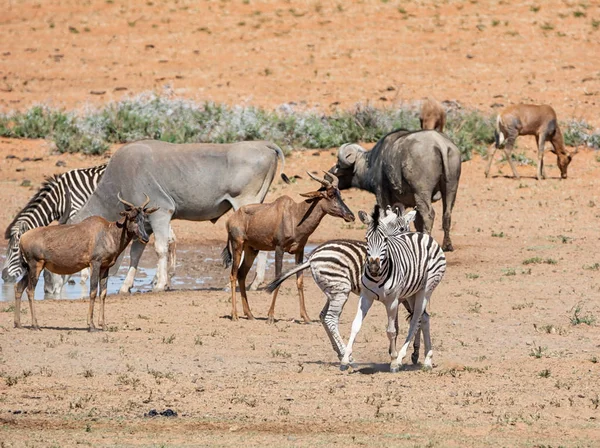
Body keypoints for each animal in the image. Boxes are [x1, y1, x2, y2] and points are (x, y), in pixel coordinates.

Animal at [14, 194, 158, 330]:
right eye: (132, 217)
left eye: (144, 217)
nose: (145, 238)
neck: (107, 231)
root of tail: (22, 238)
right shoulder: (95, 264)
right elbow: (93, 291)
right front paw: (91, 325)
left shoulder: (105, 267)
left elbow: (103, 293)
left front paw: (103, 325)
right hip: (36, 265)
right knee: (30, 290)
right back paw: (35, 325)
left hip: (31, 268)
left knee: (19, 287)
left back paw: (18, 323)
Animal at [268, 205, 422, 362]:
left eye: (402, 228)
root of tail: (312, 257)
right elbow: (416, 320)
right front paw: (412, 353)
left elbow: (408, 320)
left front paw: (399, 351)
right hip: (340, 289)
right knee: (330, 318)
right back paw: (346, 354)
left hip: (332, 290)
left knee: (323, 315)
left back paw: (340, 351)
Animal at [340, 205, 448, 372]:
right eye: (366, 239)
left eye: (385, 240)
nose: (373, 267)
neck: (378, 276)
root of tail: (423, 235)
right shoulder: (366, 297)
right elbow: (355, 325)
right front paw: (345, 359)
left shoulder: (392, 301)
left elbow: (391, 331)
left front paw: (393, 361)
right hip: (412, 293)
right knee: (424, 317)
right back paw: (427, 359)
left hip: (427, 288)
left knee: (415, 320)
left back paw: (402, 358)